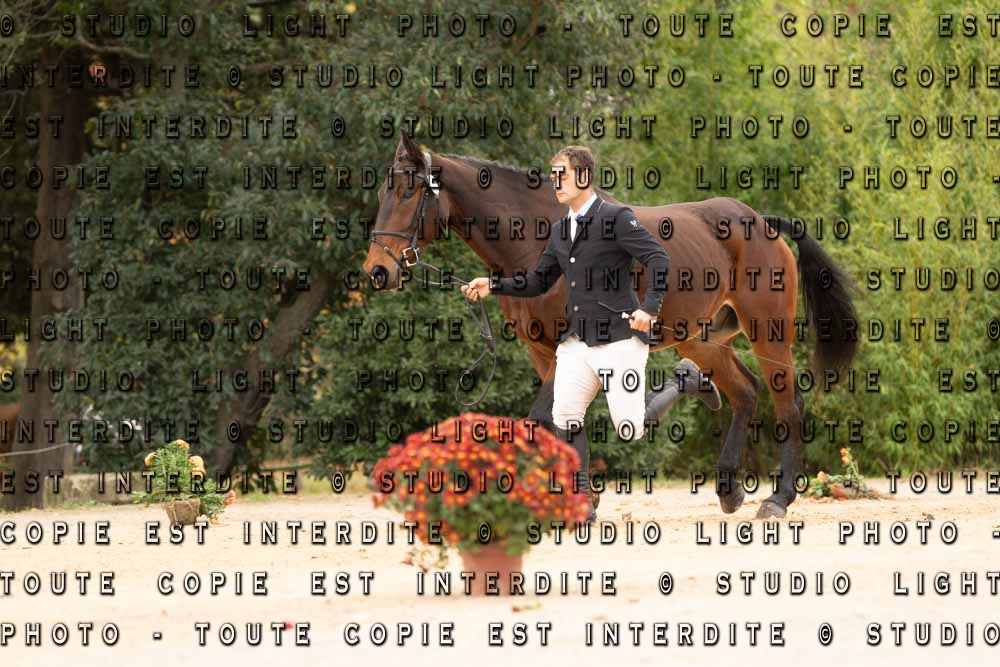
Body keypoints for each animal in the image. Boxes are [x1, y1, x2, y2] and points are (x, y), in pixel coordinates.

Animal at [362, 132, 859, 519]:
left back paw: (779, 499)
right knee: (744, 392)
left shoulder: (567, 345)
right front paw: (583, 498)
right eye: (384, 193)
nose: (378, 271)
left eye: (407, 193)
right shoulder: (544, 351)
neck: (536, 236)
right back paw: (728, 488)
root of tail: (760, 221)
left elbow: (544, 418)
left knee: (788, 403)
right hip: (701, 338)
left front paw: (579, 497)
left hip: (767, 331)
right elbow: (567, 419)